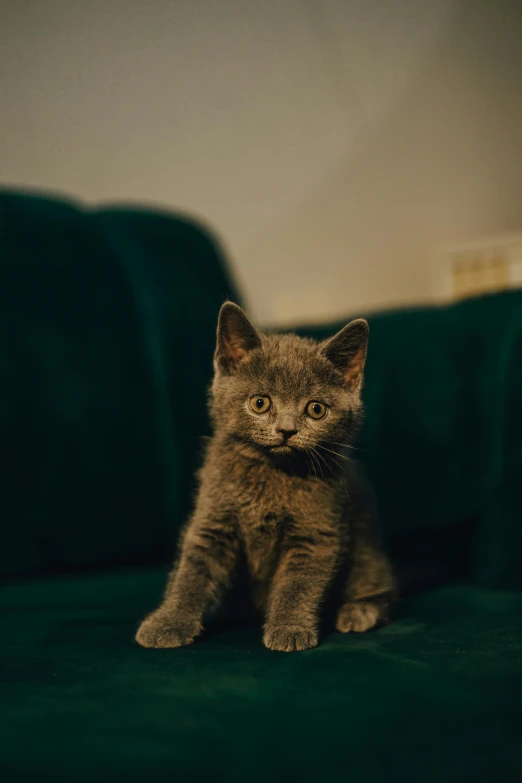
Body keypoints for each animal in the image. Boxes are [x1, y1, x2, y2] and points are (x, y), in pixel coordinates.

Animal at [135, 304, 394, 652]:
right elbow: (192, 571)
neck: (272, 471)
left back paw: (358, 612)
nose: (286, 430)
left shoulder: (317, 532)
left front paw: (289, 628)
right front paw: (169, 621)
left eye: (316, 409)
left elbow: (298, 584)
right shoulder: (213, 517)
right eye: (260, 403)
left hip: (368, 555)